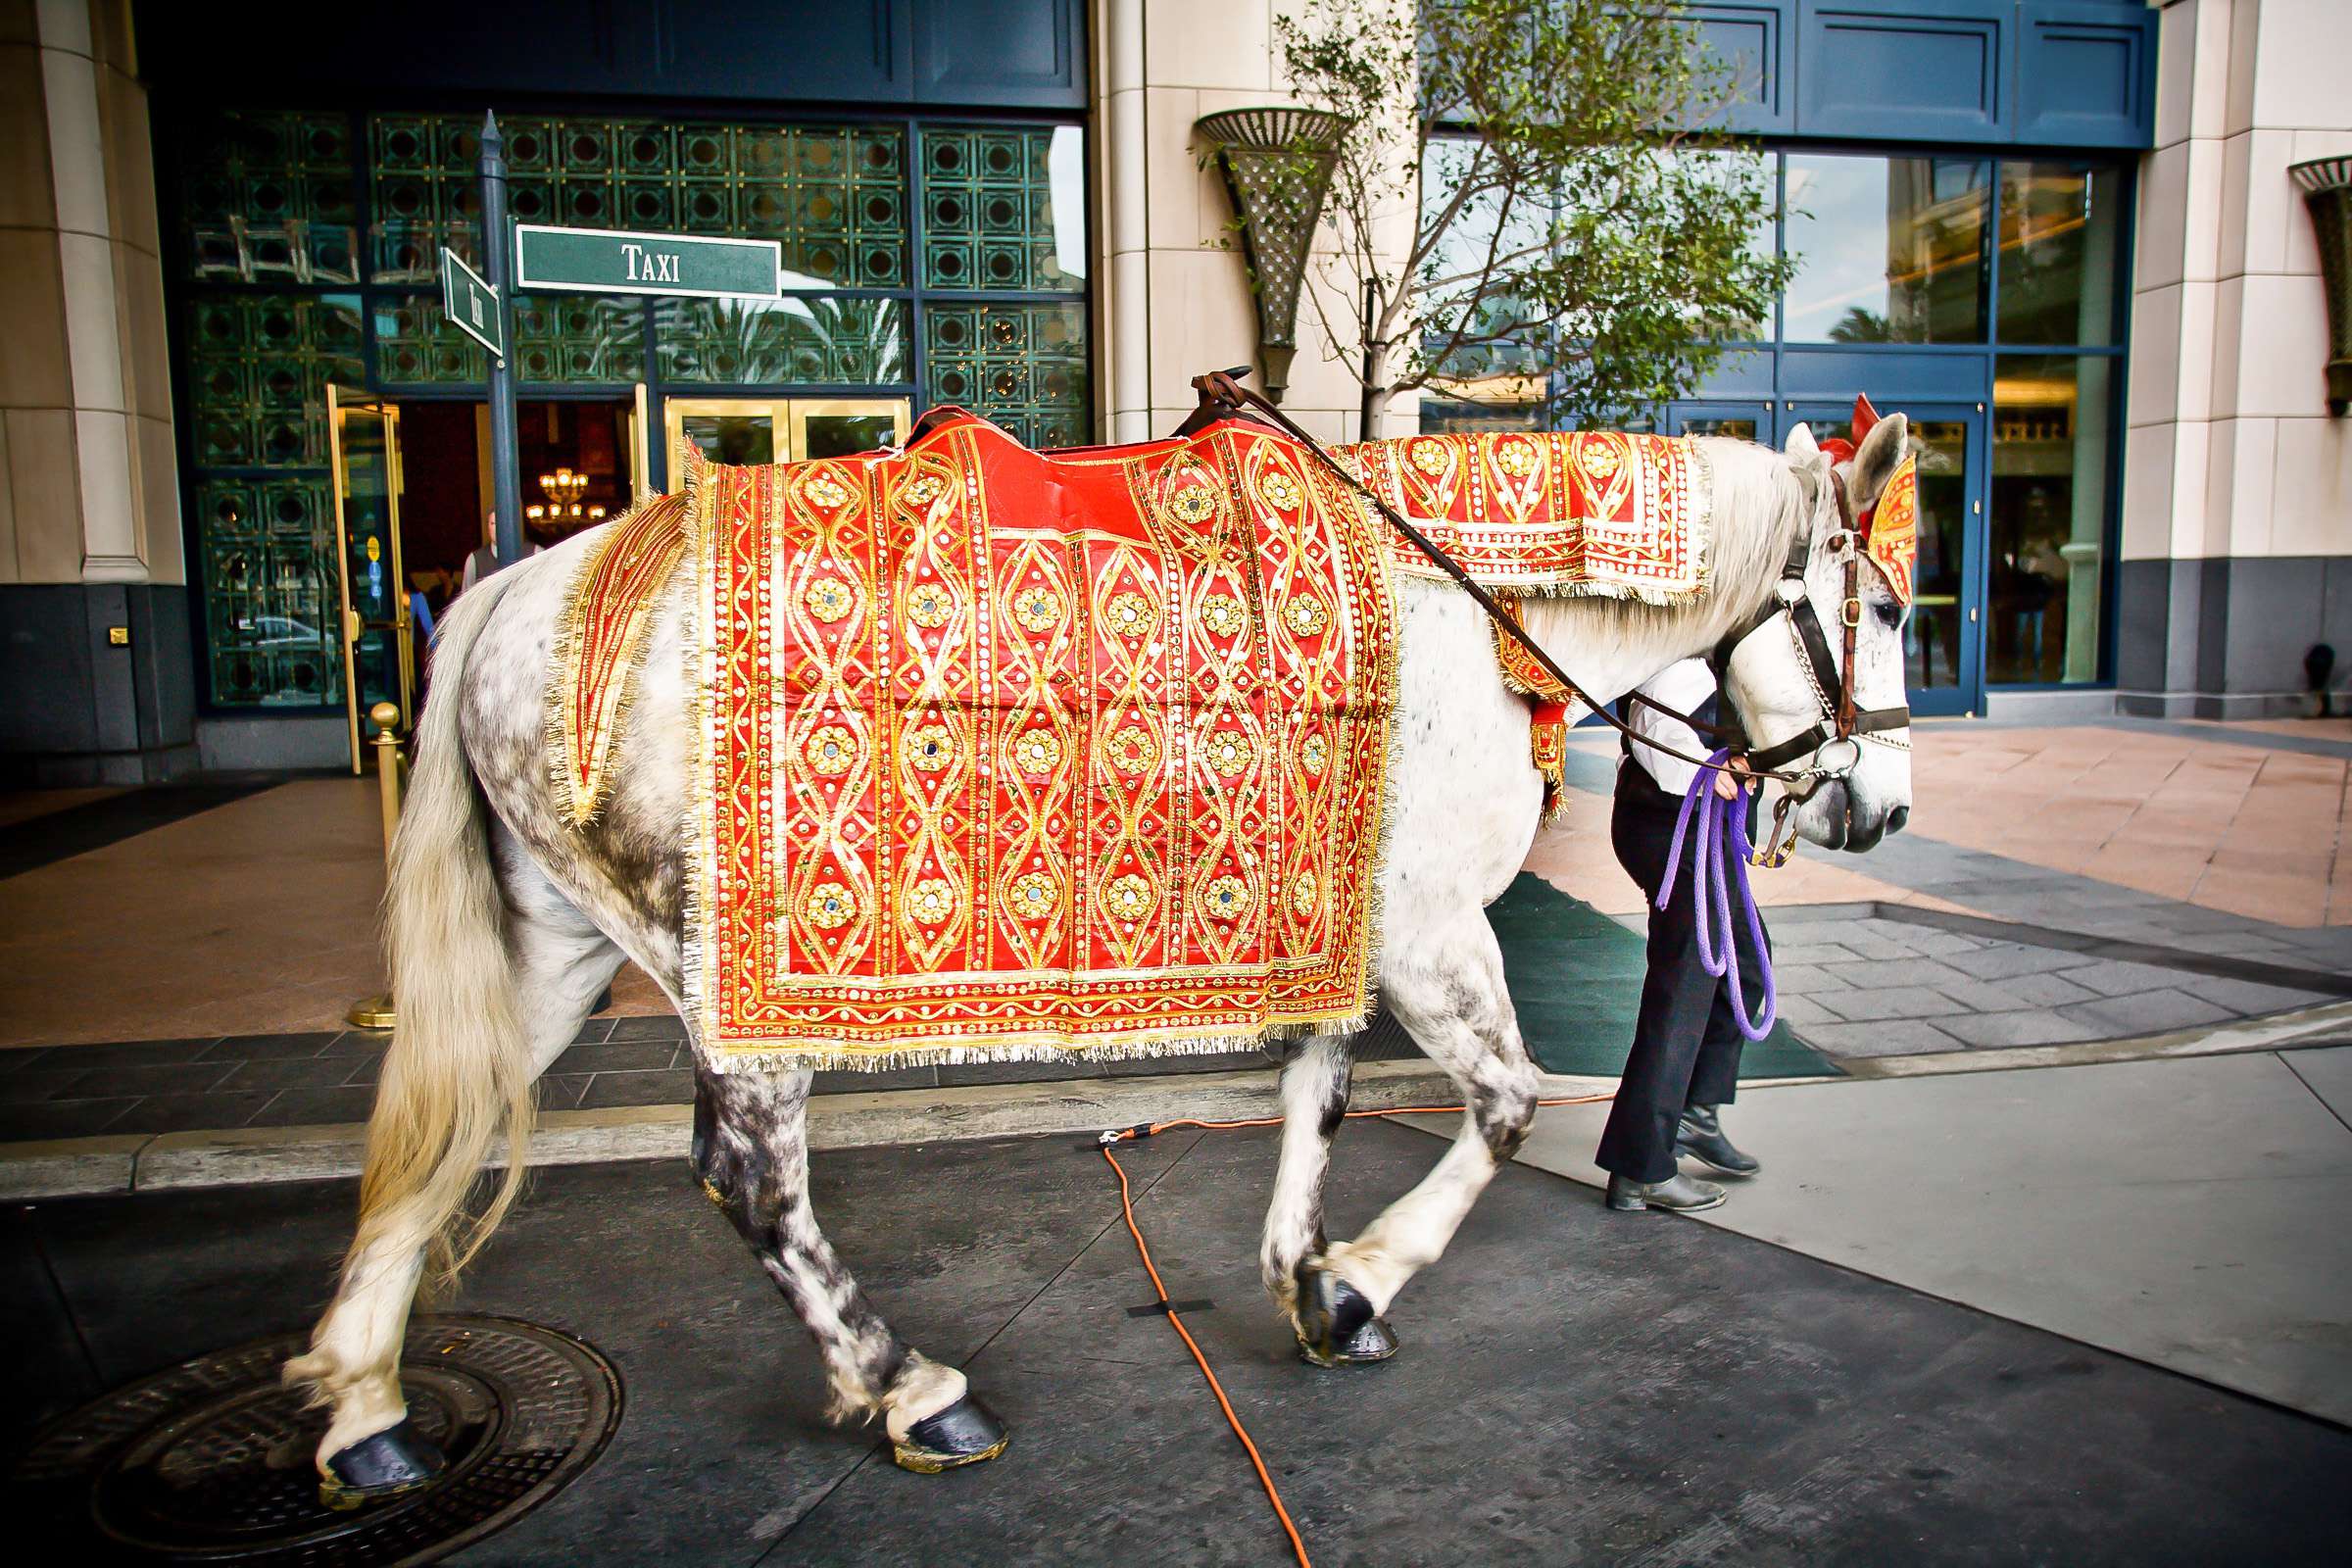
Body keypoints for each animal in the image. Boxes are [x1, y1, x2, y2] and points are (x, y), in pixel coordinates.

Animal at [289, 414, 1909, 1494]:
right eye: (1886, 602)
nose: (1880, 808)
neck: (1468, 606)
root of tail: (515, 588)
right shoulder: (1432, 933)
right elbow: (1502, 1108)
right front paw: (1364, 1281)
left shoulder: (1340, 930)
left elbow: (1317, 1102)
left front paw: (1308, 1280)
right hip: (720, 984)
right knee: (753, 1187)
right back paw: (913, 1387)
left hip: (554, 944)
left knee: (433, 1136)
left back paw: (366, 1409)